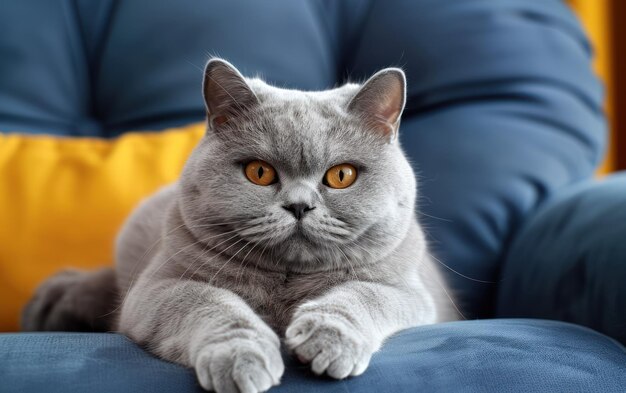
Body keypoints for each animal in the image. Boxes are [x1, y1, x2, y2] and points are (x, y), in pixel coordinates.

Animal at [23, 59, 454, 392]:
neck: (286, 285)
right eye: (259, 172)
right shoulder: (158, 287)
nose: (299, 206)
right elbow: (211, 303)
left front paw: (326, 340)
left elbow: (360, 294)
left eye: (341, 175)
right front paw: (241, 360)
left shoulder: (409, 291)